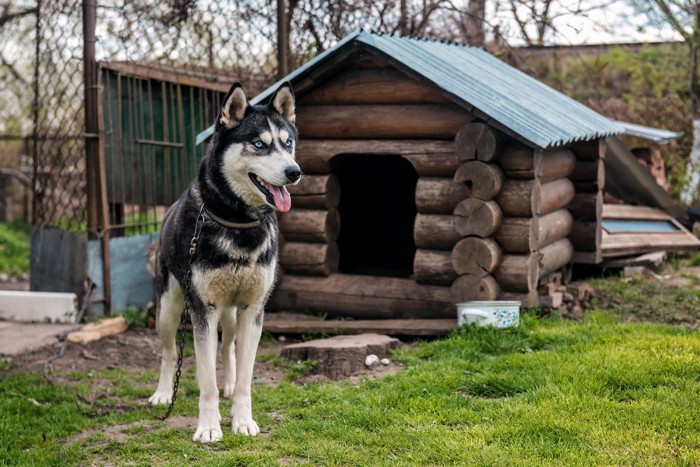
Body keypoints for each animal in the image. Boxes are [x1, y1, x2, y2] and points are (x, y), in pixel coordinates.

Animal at [148, 82, 300, 444]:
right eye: (259, 144)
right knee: (169, 352)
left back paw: (228, 382)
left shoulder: (253, 310)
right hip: (170, 309)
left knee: (228, 345)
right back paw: (163, 393)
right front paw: (208, 426)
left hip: (231, 314)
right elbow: (206, 382)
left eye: (288, 143)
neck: (238, 223)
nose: (295, 172)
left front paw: (242, 419)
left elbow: (245, 376)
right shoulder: (203, 310)